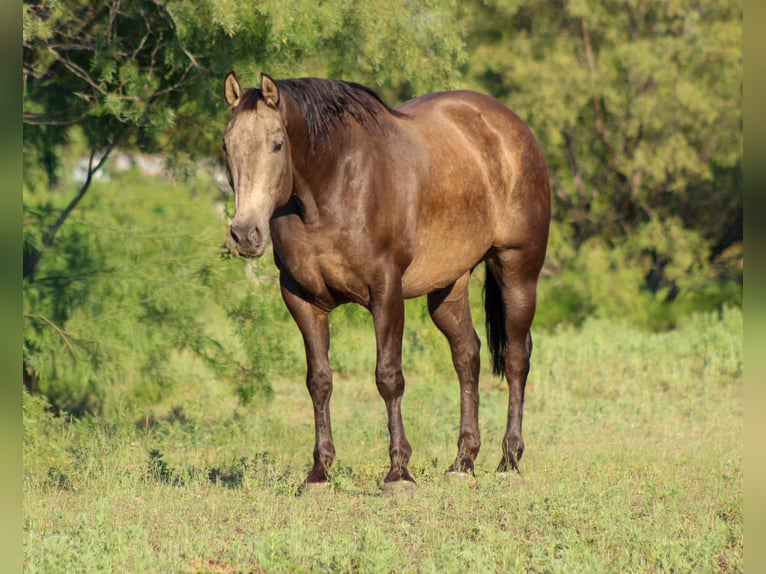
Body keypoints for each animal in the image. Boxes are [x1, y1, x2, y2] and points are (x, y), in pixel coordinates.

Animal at [221, 71, 550, 492]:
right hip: (448, 289)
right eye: (227, 145)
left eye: (277, 143)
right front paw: (319, 472)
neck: (331, 185)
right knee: (467, 357)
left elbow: (389, 377)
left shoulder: (386, 292)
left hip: (517, 271)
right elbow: (319, 381)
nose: (245, 234)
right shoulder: (302, 299)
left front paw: (398, 472)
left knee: (515, 358)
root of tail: (513, 128)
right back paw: (463, 461)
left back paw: (509, 460)